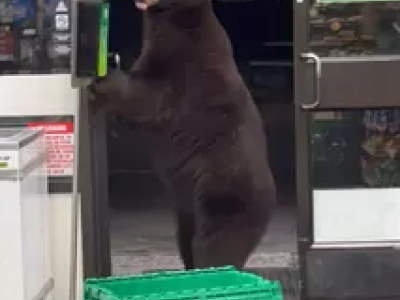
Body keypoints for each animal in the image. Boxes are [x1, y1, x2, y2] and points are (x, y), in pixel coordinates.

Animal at [88, 0, 276, 270]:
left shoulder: (186, 69)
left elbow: (149, 98)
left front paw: (104, 78)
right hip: (191, 212)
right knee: (187, 241)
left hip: (224, 195)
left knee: (216, 244)